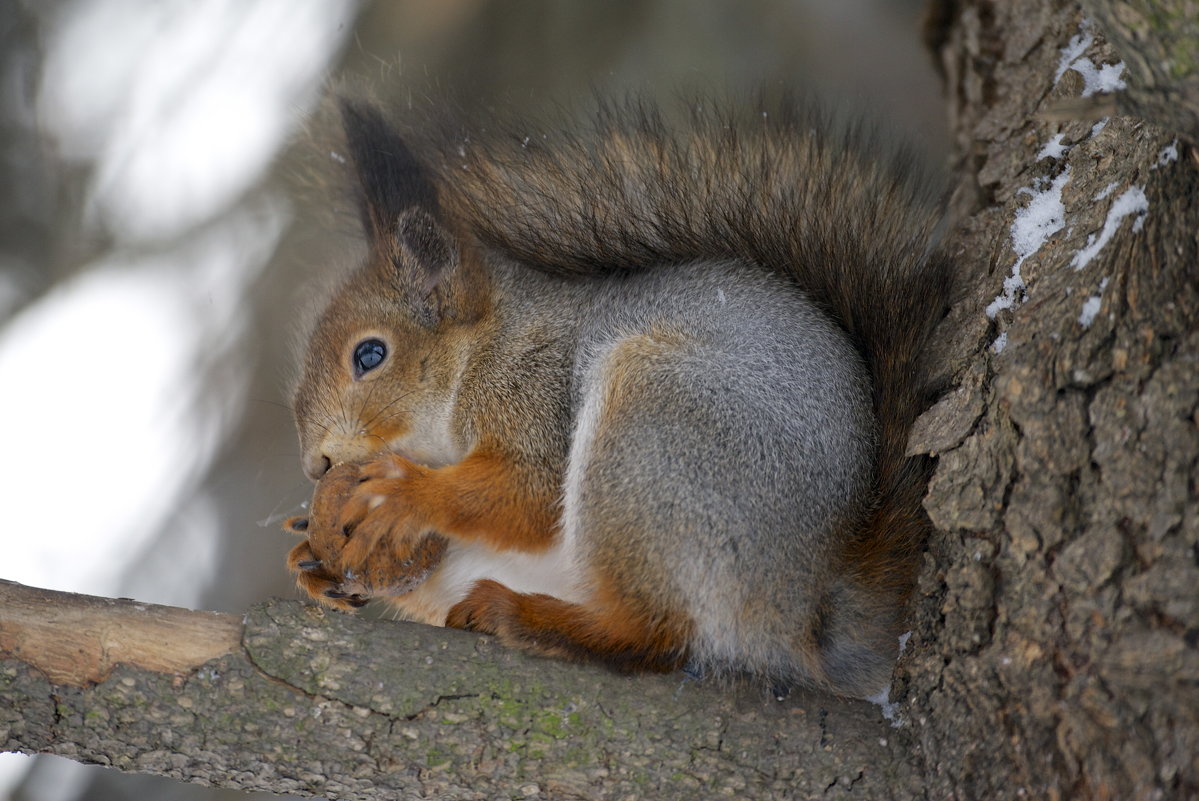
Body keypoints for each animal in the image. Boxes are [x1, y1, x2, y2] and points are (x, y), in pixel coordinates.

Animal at [285, 90, 949, 695]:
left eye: (370, 355)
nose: (316, 465)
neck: (487, 347)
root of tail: (801, 617)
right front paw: (311, 556)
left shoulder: (538, 387)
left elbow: (531, 494)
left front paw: (403, 490)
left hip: (656, 440)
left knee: (658, 636)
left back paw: (526, 616)